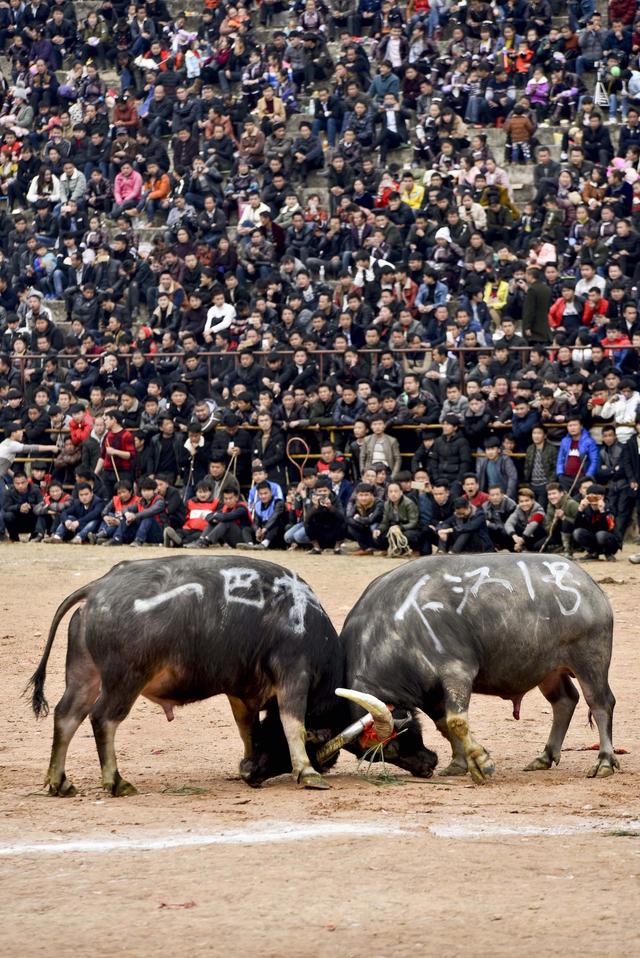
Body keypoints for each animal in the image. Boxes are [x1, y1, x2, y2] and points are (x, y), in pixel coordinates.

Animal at [28, 556, 440, 796]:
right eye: (399, 742)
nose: (431, 760)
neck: (303, 620)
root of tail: (98, 588)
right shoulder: (294, 675)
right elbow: (293, 724)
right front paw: (306, 772)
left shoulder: (242, 692)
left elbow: (248, 728)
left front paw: (248, 761)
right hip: (125, 680)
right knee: (103, 719)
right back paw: (115, 781)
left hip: (84, 676)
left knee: (66, 716)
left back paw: (59, 782)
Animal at [338, 556, 616, 780]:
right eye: (380, 754)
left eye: (391, 747)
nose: (427, 766)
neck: (395, 627)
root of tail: (590, 585)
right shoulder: (430, 692)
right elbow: (445, 724)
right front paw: (458, 763)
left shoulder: (457, 672)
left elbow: (457, 721)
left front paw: (481, 763)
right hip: (549, 670)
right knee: (565, 701)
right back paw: (545, 756)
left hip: (590, 660)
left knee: (600, 703)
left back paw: (604, 761)